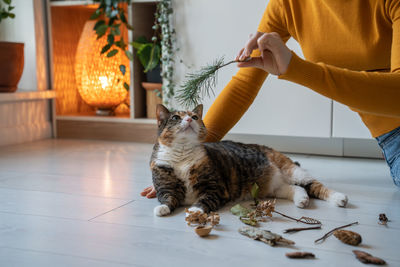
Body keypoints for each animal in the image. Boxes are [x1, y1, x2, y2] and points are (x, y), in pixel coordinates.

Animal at [150, 103, 346, 217]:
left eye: (195, 116)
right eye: (176, 117)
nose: (190, 119)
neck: (182, 155)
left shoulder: (215, 189)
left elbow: (204, 200)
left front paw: (194, 210)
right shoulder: (166, 186)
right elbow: (167, 198)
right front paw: (162, 209)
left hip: (292, 170)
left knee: (314, 185)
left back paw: (340, 198)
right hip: (275, 187)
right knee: (296, 188)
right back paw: (302, 200)